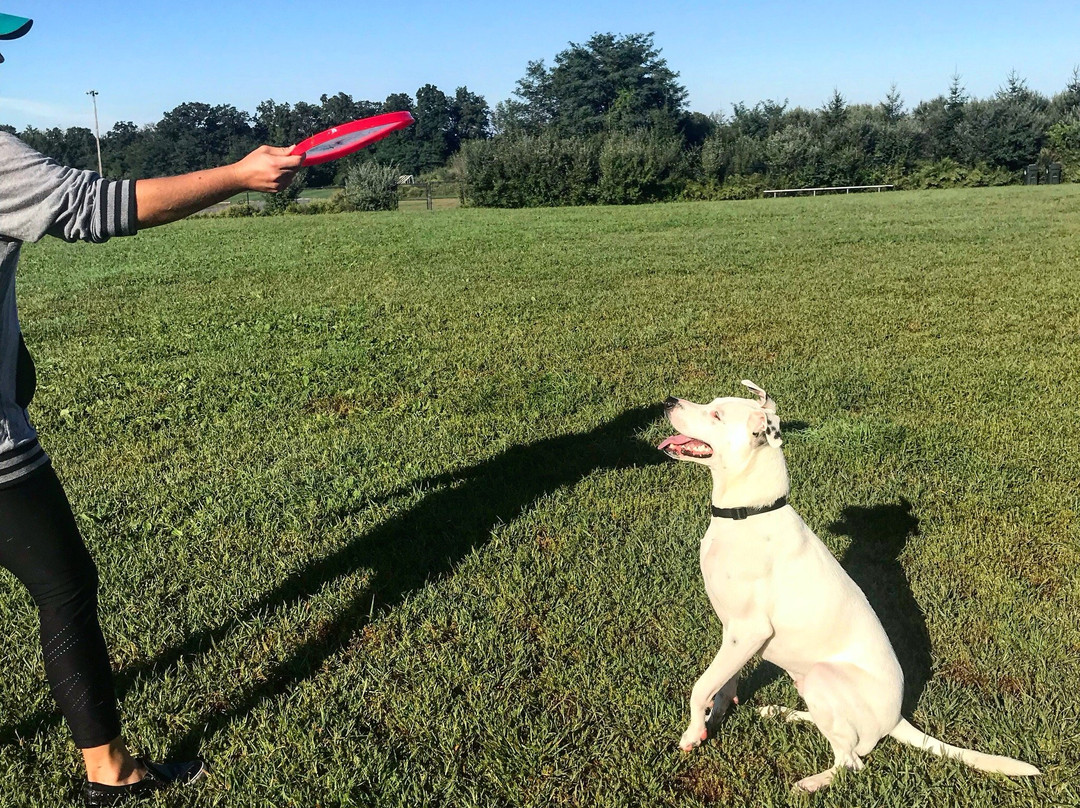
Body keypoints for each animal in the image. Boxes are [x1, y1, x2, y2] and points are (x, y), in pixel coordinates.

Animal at [656, 382, 1036, 790]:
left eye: (716, 415)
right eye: (711, 404)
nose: (668, 401)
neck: (748, 513)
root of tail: (896, 718)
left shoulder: (749, 630)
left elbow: (701, 686)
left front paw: (692, 733)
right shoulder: (734, 632)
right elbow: (724, 682)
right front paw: (715, 717)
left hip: (822, 678)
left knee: (852, 759)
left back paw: (811, 782)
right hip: (808, 684)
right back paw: (784, 713)